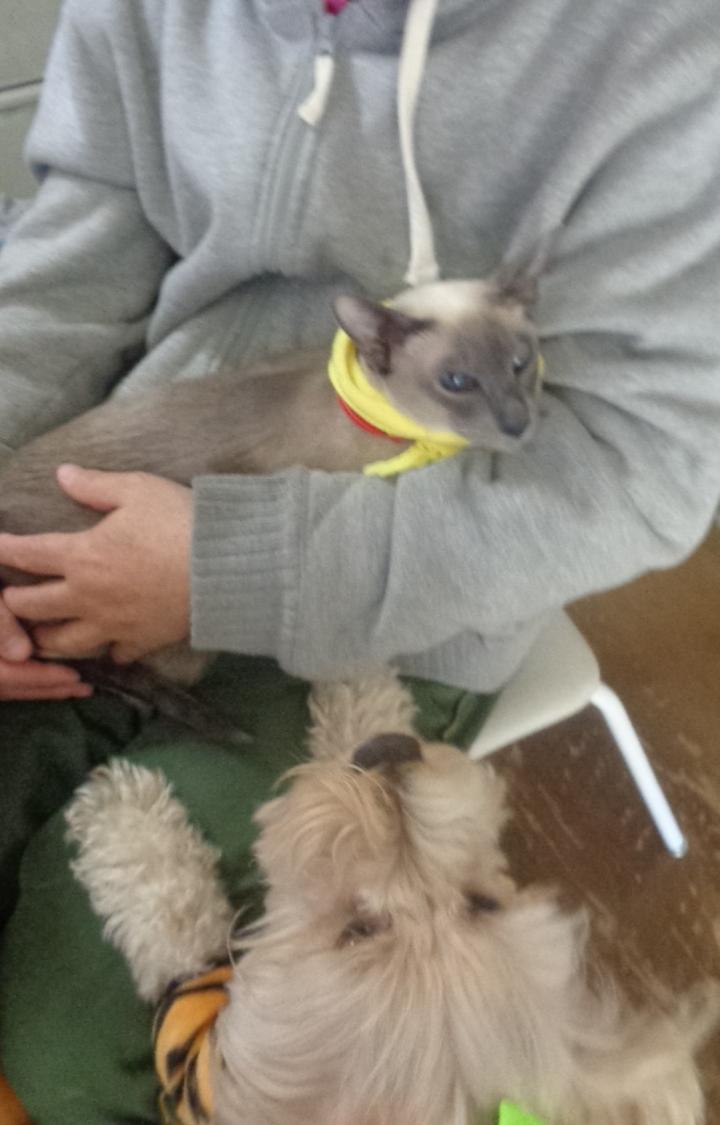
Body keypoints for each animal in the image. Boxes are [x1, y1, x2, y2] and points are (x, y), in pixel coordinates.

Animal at [66, 674, 719, 1125]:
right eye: (481, 903)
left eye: (356, 930)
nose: (391, 758)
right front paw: (361, 687)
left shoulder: (190, 996)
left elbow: (168, 903)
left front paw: (121, 812)